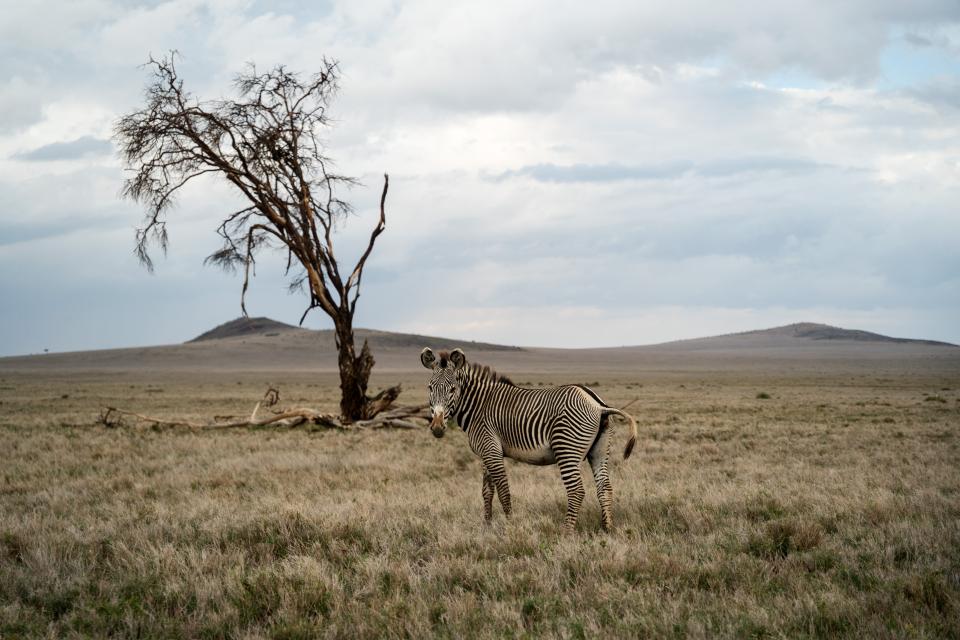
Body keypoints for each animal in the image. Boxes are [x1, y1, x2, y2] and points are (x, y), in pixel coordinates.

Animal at [422, 348, 636, 532]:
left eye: (452, 389)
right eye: (430, 388)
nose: (437, 427)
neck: (479, 406)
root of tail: (598, 405)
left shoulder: (491, 450)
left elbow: (503, 491)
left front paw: (510, 527)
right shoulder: (486, 452)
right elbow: (487, 491)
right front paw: (487, 526)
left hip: (567, 449)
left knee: (576, 490)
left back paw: (566, 532)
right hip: (599, 451)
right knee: (605, 488)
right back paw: (607, 529)